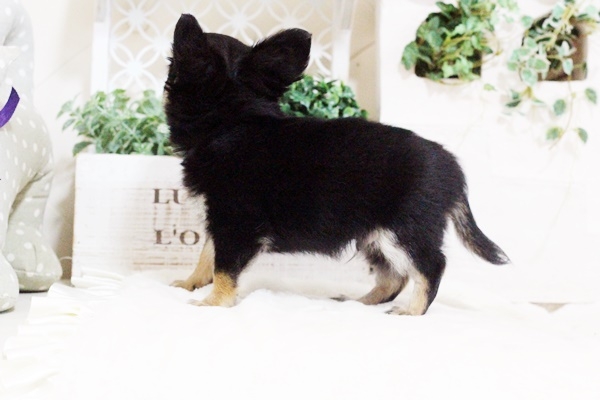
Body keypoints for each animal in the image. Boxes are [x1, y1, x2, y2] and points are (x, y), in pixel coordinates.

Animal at [164, 14, 509, 315]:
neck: (231, 123)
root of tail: (453, 166)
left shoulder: (236, 223)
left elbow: (224, 267)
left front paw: (213, 302)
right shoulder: (219, 219)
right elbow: (206, 255)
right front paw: (191, 283)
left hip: (404, 230)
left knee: (431, 265)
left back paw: (412, 310)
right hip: (375, 236)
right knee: (394, 276)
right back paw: (362, 303)